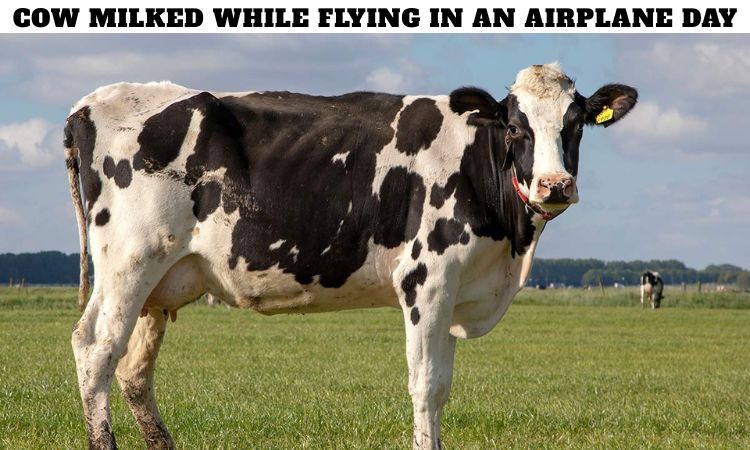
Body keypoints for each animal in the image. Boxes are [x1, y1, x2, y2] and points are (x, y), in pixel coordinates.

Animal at [64, 63, 637, 450]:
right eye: (516, 127)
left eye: (576, 125)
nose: (554, 184)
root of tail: (91, 102)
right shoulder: (426, 279)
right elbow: (427, 386)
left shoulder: (455, 291)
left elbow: (443, 386)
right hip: (128, 261)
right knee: (96, 349)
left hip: (160, 281)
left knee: (134, 371)